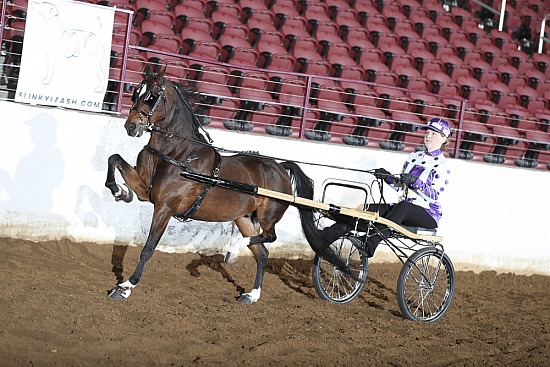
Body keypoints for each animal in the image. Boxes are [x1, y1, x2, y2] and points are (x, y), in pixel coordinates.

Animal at [105, 67, 348, 304]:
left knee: (269, 238)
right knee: (262, 254)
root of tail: (279, 167)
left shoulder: (165, 207)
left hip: (267, 216)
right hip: (244, 218)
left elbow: (148, 248)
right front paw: (120, 191)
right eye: (135, 93)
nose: (131, 126)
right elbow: (114, 159)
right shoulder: (146, 191)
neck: (179, 154)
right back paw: (251, 294)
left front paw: (125, 287)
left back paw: (234, 251)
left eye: (152, 96)